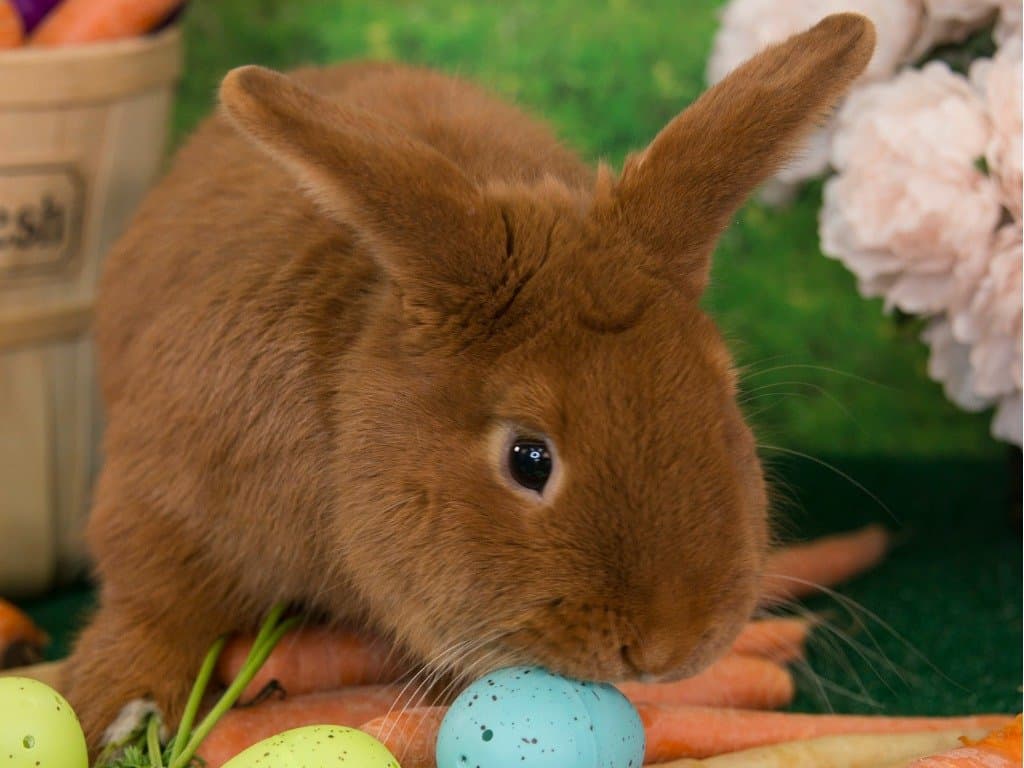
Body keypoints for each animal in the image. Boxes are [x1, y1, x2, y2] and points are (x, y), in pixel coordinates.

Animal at [64, 13, 876, 753]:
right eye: (529, 459)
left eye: (724, 400)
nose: (669, 644)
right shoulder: (168, 502)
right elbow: (150, 608)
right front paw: (105, 713)